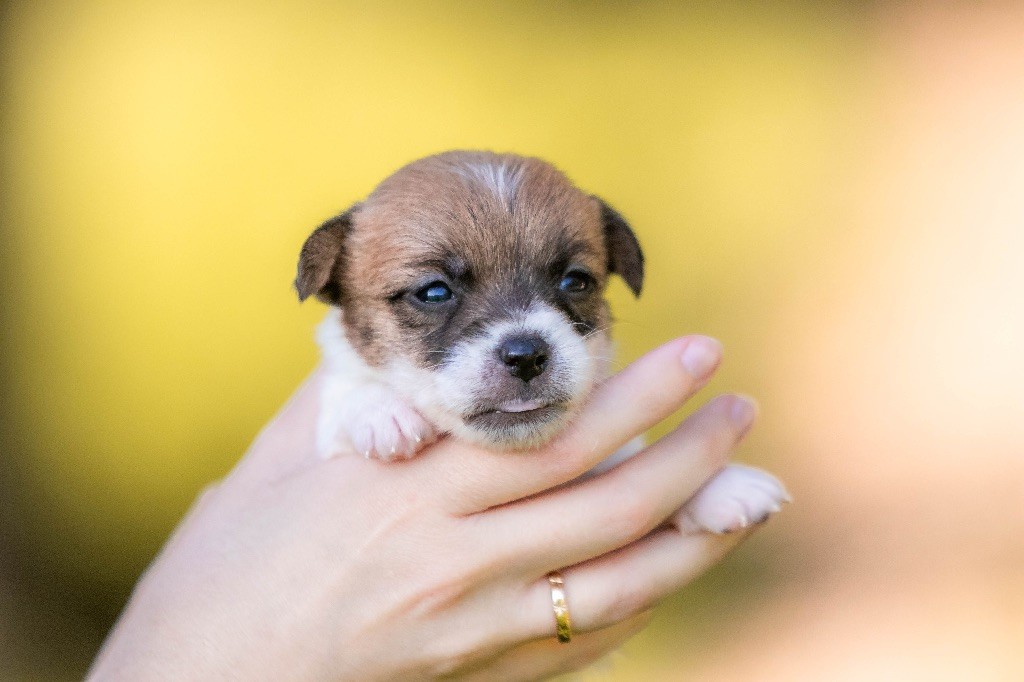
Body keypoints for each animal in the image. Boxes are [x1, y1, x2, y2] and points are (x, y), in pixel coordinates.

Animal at [292, 152, 786, 532]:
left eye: (575, 281)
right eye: (433, 292)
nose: (526, 356)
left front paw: (722, 486)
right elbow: (347, 396)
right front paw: (381, 412)